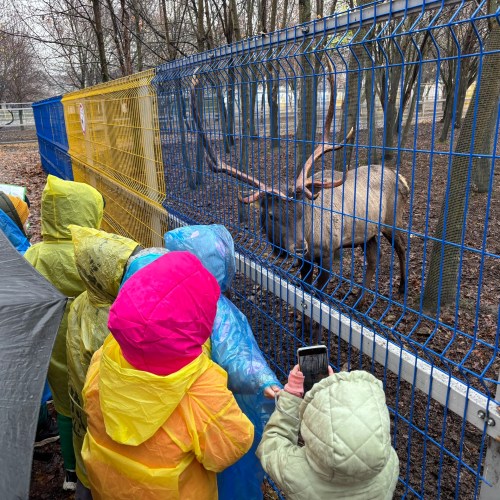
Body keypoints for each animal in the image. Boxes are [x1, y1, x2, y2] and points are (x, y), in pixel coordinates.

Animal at [190, 63, 409, 305]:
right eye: (271, 215)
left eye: (303, 210)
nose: (298, 247)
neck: (311, 236)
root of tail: (401, 178)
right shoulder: (307, 260)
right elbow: (304, 288)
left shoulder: (329, 250)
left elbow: (318, 294)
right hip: (368, 232)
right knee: (374, 256)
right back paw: (360, 301)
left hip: (393, 219)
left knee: (401, 247)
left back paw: (401, 288)